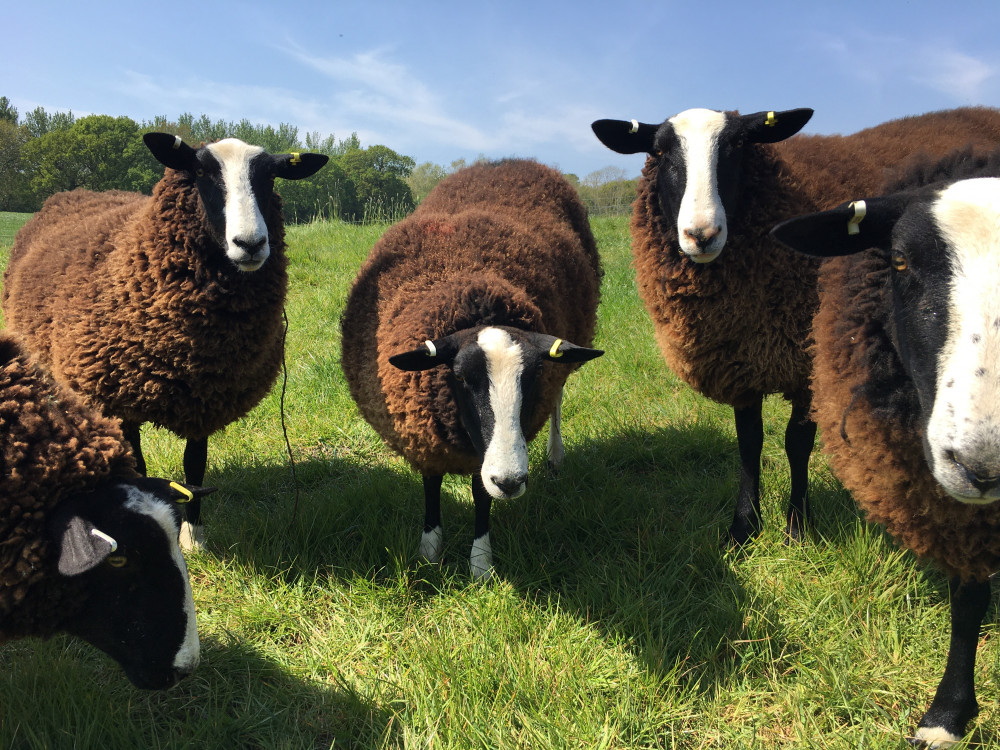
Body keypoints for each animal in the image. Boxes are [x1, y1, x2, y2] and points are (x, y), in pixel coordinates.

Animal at [0, 134, 328, 552]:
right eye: (200, 171)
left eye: (270, 176)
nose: (251, 244)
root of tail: (74, 193)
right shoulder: (118, 397)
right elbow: (138, 468)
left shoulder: (206, 395)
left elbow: (195, 466)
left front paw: (194, 536)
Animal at [340, 159, 600, 580]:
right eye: (460, 377)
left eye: (533, 377)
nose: (511, 482)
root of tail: (511, 161)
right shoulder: (422, 432)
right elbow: (431, 485)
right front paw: (429, 550)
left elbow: (481, 491)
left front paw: (481, 562)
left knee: (559, 400)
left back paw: (555, 456)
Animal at [588, 106, 1000, 548]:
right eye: (661, 151)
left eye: (737, 145)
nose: (702, 234)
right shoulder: (742, 362)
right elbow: (749, 443)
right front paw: (744, 528)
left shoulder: (809, 361)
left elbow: (796, 444)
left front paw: (798, 528)